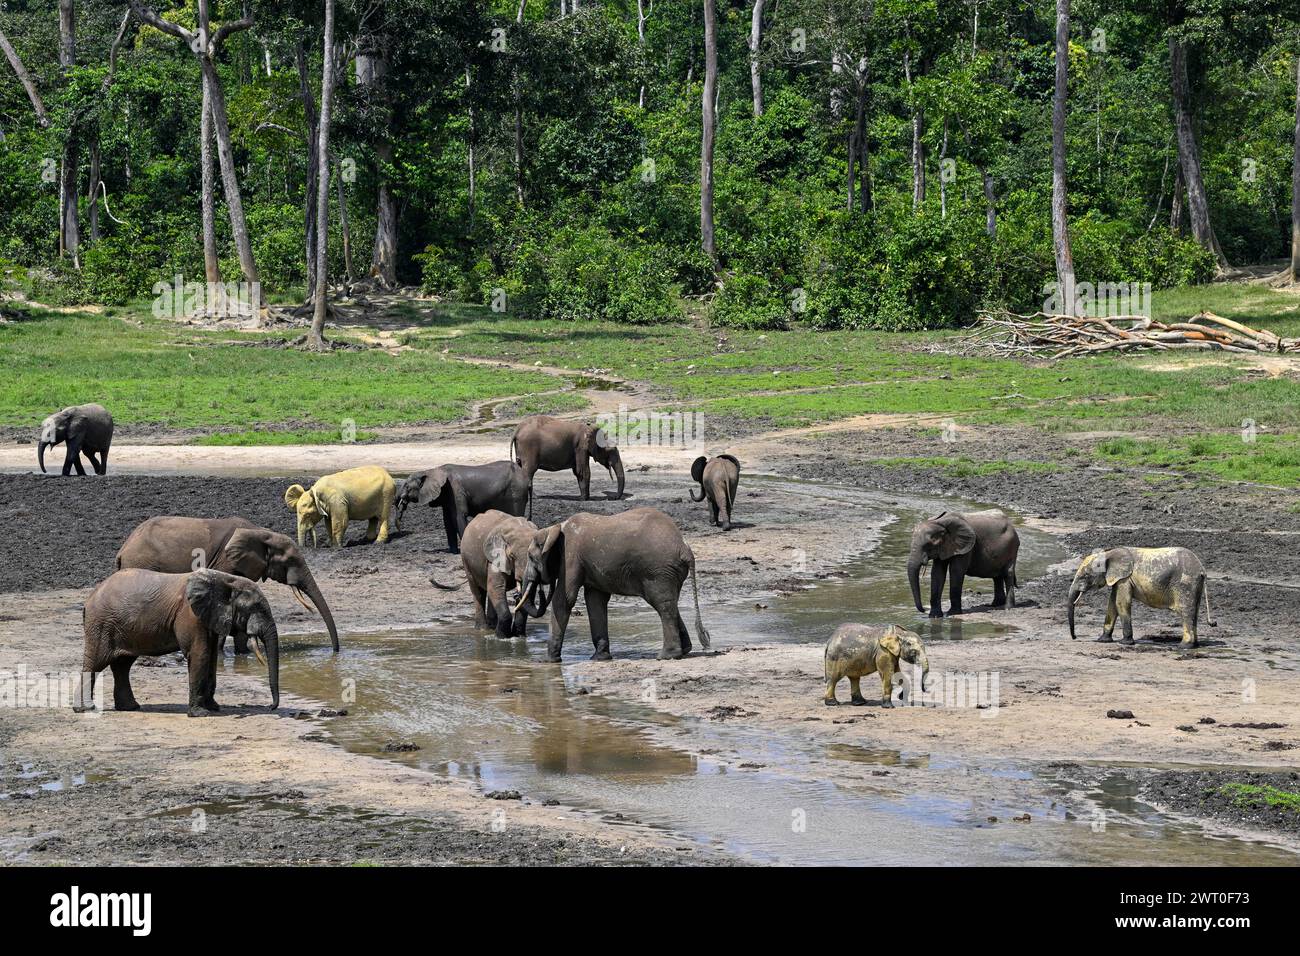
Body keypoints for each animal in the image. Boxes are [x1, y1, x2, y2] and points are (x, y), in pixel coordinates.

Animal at [78, 567, 279, 717]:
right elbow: (200, 653)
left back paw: (130, 708)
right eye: (257, 608)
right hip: (101, 624)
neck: (226, 580)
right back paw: (85, 709)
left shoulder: (208, 616)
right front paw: (201, 714)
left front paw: (214, 707)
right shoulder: (190, 614)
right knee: (96, 663)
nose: (270, 707)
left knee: (122, 666)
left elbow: (212, 657)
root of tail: (90, 598)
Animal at [115, 520, 340, 655]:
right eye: (291, 561)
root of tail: (123, 550)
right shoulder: (226, 563)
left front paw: (242, 655)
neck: (261, 533)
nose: (336, 652)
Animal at [400, 463, 533, 554]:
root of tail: (527, 479)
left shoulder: (456, 490)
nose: (402, 502)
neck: (432, 470)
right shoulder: (447, 496)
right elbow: (447, 521)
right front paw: (453, 552)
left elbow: (459, 517)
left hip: (516, 493)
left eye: (407, 486)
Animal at [512, 509, 712, 665]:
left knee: (662, 605)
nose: (516, 596)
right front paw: (599, 658)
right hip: (669, 572)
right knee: (671, 603)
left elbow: (564, 599)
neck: (554, 529)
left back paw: (666, 656)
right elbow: (595, 600)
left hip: (658, 571)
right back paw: (685, 650)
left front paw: (545, 661)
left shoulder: (571, 556)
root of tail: (685, 548)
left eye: (531, 557)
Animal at [1071, 546, 1211, 650]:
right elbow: (1112, 603)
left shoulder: (1125, 578)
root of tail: (1202, 570)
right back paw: (1194, 645)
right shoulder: (1119, 578)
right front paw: (1102, 640)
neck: (1108, 553)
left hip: (1185, 583)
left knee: (1186, 611)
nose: (1075, 637)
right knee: (1194, 611)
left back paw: (1183, 646)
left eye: (1085, 576)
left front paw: (1125, 643)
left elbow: (1121, 603)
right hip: (1194, 585)